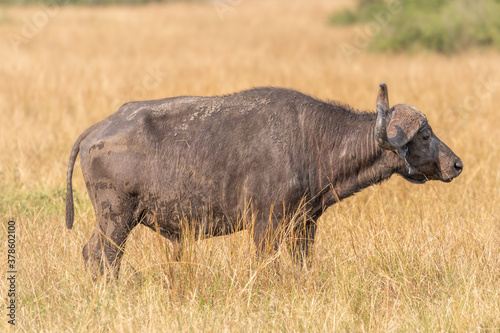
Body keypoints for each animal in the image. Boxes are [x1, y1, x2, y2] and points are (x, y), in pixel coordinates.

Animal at [64, 83, 462, 278]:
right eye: (425, 134)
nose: (456, 164)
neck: (312, 140)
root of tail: (97, 129)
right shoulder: (265, 225)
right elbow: (265, 266)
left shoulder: (304, 224)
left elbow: (302, 265)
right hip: (116, 219)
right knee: (102, 257)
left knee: (91, 254)